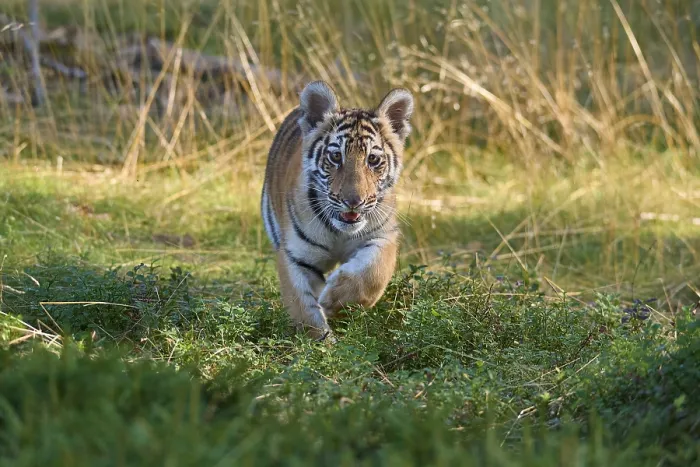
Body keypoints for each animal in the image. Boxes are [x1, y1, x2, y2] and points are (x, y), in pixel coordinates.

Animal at [261, 80, 414, 341]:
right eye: (335, 156)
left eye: (373, 159)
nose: (353, 201)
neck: (340, 231)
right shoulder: (294, 255)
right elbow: (304, 310)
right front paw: (321, 343)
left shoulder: (384, 236)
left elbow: (372, 274)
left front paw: (335, 301)